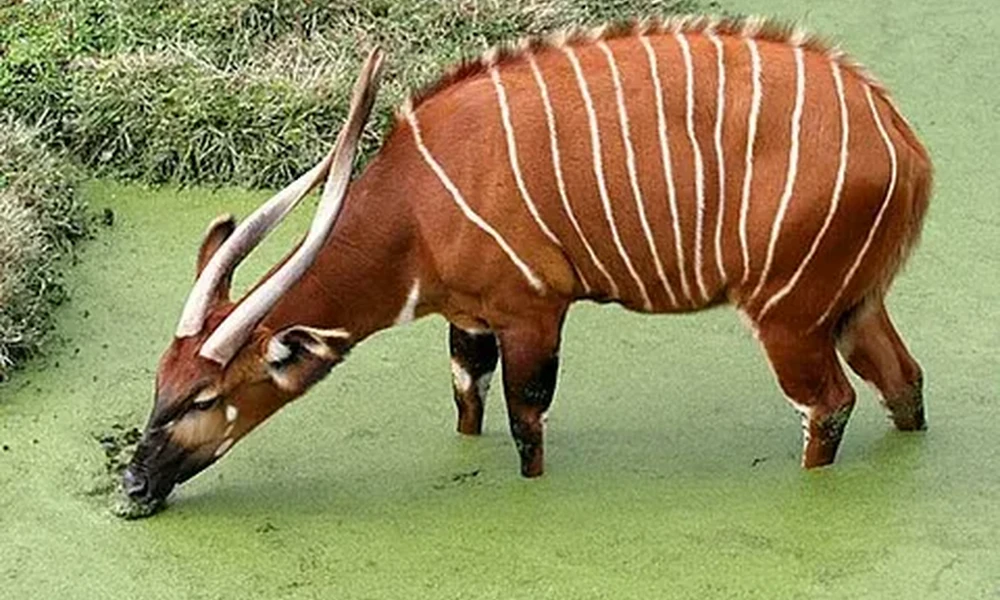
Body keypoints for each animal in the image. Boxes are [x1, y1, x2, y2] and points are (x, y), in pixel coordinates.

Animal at [123, 16, 932, 513]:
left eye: (202, 397)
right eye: (159, 382)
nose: (133, 480)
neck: (416, 206)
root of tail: (904, 141)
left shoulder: (532, 311)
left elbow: (525, 423)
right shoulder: (469, 322)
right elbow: (467, 400)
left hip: (789, 313)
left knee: (829, 404)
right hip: (853, 304)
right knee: (903, 382)